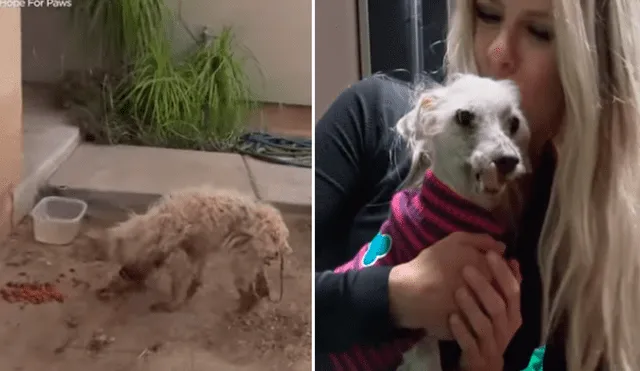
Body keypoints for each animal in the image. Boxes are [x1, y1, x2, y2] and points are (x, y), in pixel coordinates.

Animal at [82, 189, 292, 314]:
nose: (123, 273)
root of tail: (280, 234)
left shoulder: (178, 256)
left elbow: (179, 284)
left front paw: (171, 304)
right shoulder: (197, 250)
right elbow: (196, 274)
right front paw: (192, 289)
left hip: (242, 260)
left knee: (248, 289)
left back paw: (241, 309)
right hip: (251, 258)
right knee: (259, 284)